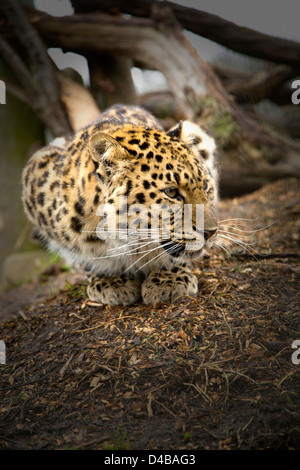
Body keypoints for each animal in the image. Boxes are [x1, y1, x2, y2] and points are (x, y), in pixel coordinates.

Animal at [21, 103, 218, 304]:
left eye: (205, 185)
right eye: (171, 192)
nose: (211, 233)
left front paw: (169, 278)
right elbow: (85, 258)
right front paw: (110, 277)